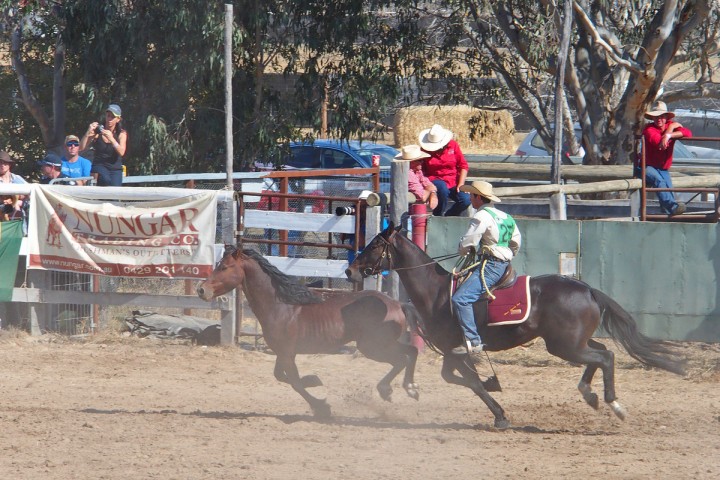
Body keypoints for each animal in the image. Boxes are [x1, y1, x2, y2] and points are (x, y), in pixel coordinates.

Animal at [197, 248, 422, 416]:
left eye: (224, 267)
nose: (201, 290)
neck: (281, 306)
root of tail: (398, 304)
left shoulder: (287, 354)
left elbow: (295, 382)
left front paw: (322, 407)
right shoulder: (283, 352)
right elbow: (281, 376)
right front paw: (314, 380)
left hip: (372, 346)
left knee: (402, 358)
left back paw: (391, 390)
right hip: (379, 345)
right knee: (410, 353)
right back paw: (409, 389)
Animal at [344, 223, 688, 430]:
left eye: (374, 245)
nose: (349, 270)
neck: (437, 292)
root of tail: (588, 289)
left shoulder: (454, 349)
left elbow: (471, 382)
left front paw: (499, 414)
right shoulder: (453, 351)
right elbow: (461, 378)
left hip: (564, 346)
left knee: (606, 357)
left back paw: (613, 403)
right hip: (574, 343)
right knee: (602, 353)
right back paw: (589, 394)